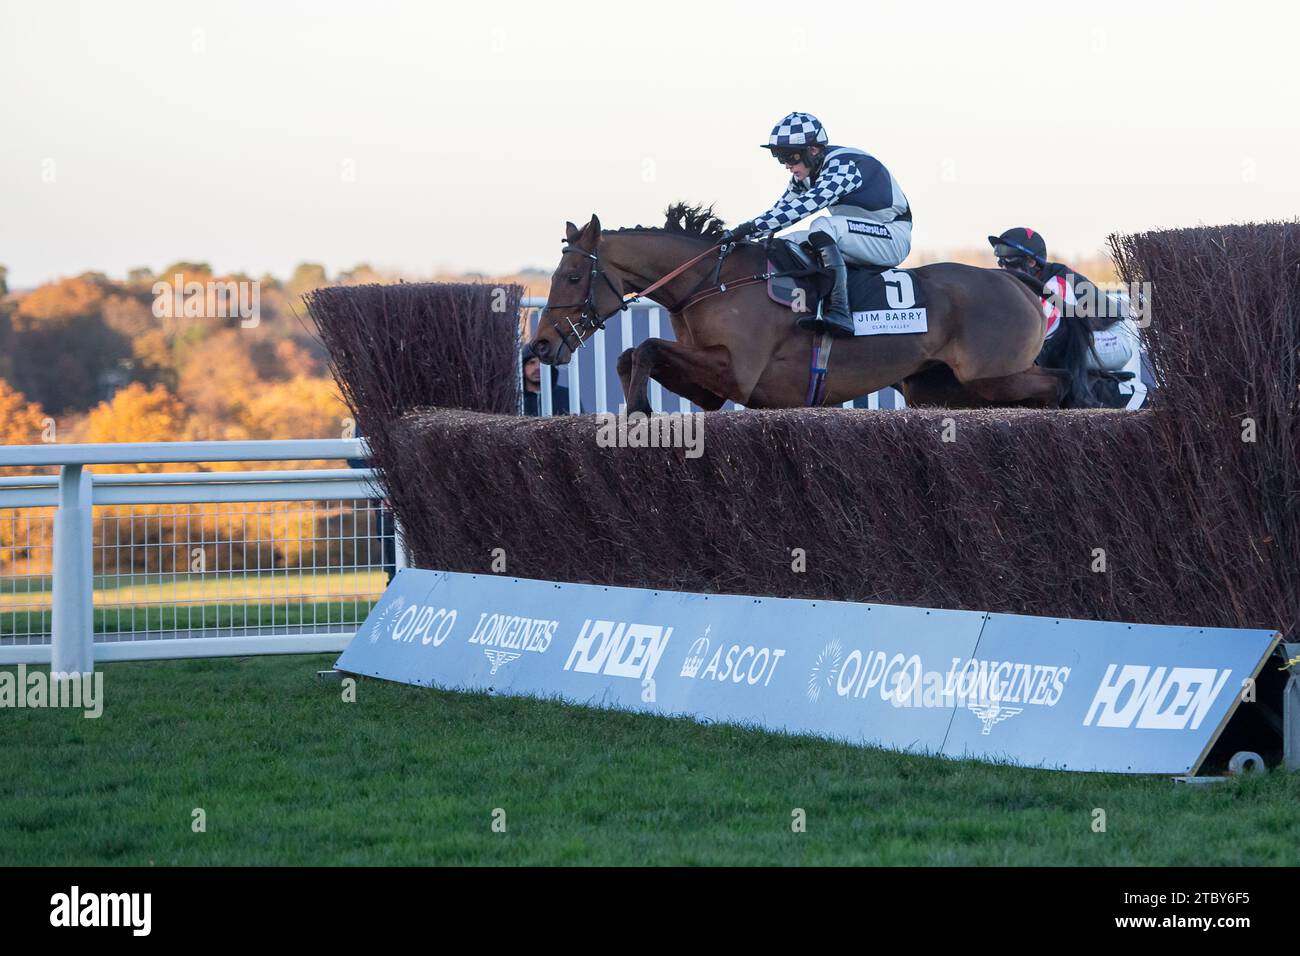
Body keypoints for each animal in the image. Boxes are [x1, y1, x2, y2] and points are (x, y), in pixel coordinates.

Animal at [527, 201, 1066, 411]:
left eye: (572, 277)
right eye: (552, 276)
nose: (541, 345)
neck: (713, 282)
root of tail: (1015, 280)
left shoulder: (739, 372)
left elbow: (645, 348)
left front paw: (639, 410)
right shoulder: (712, 388)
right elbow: (632, 354)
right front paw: (636, 409)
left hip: (992, 376)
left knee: (1058, 383)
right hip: (941, 388)